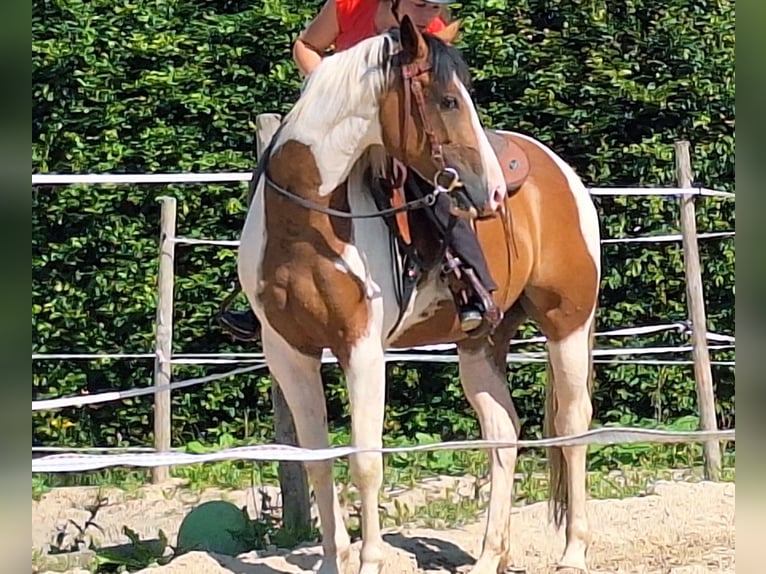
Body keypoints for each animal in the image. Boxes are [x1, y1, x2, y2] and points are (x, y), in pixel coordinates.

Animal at [237, 14, 604, 574]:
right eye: (448, 101)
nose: (493, 192)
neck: (304, 223)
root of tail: (561, 173)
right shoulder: (288, 351)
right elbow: (317, 462)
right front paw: (332, 560)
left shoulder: (362, 348)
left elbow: (366, 461)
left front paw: (369, 561)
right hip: (480, 342)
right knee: (503, 430)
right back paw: (488, 556)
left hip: (568, 322)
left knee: (572, 423)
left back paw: (574, 552)